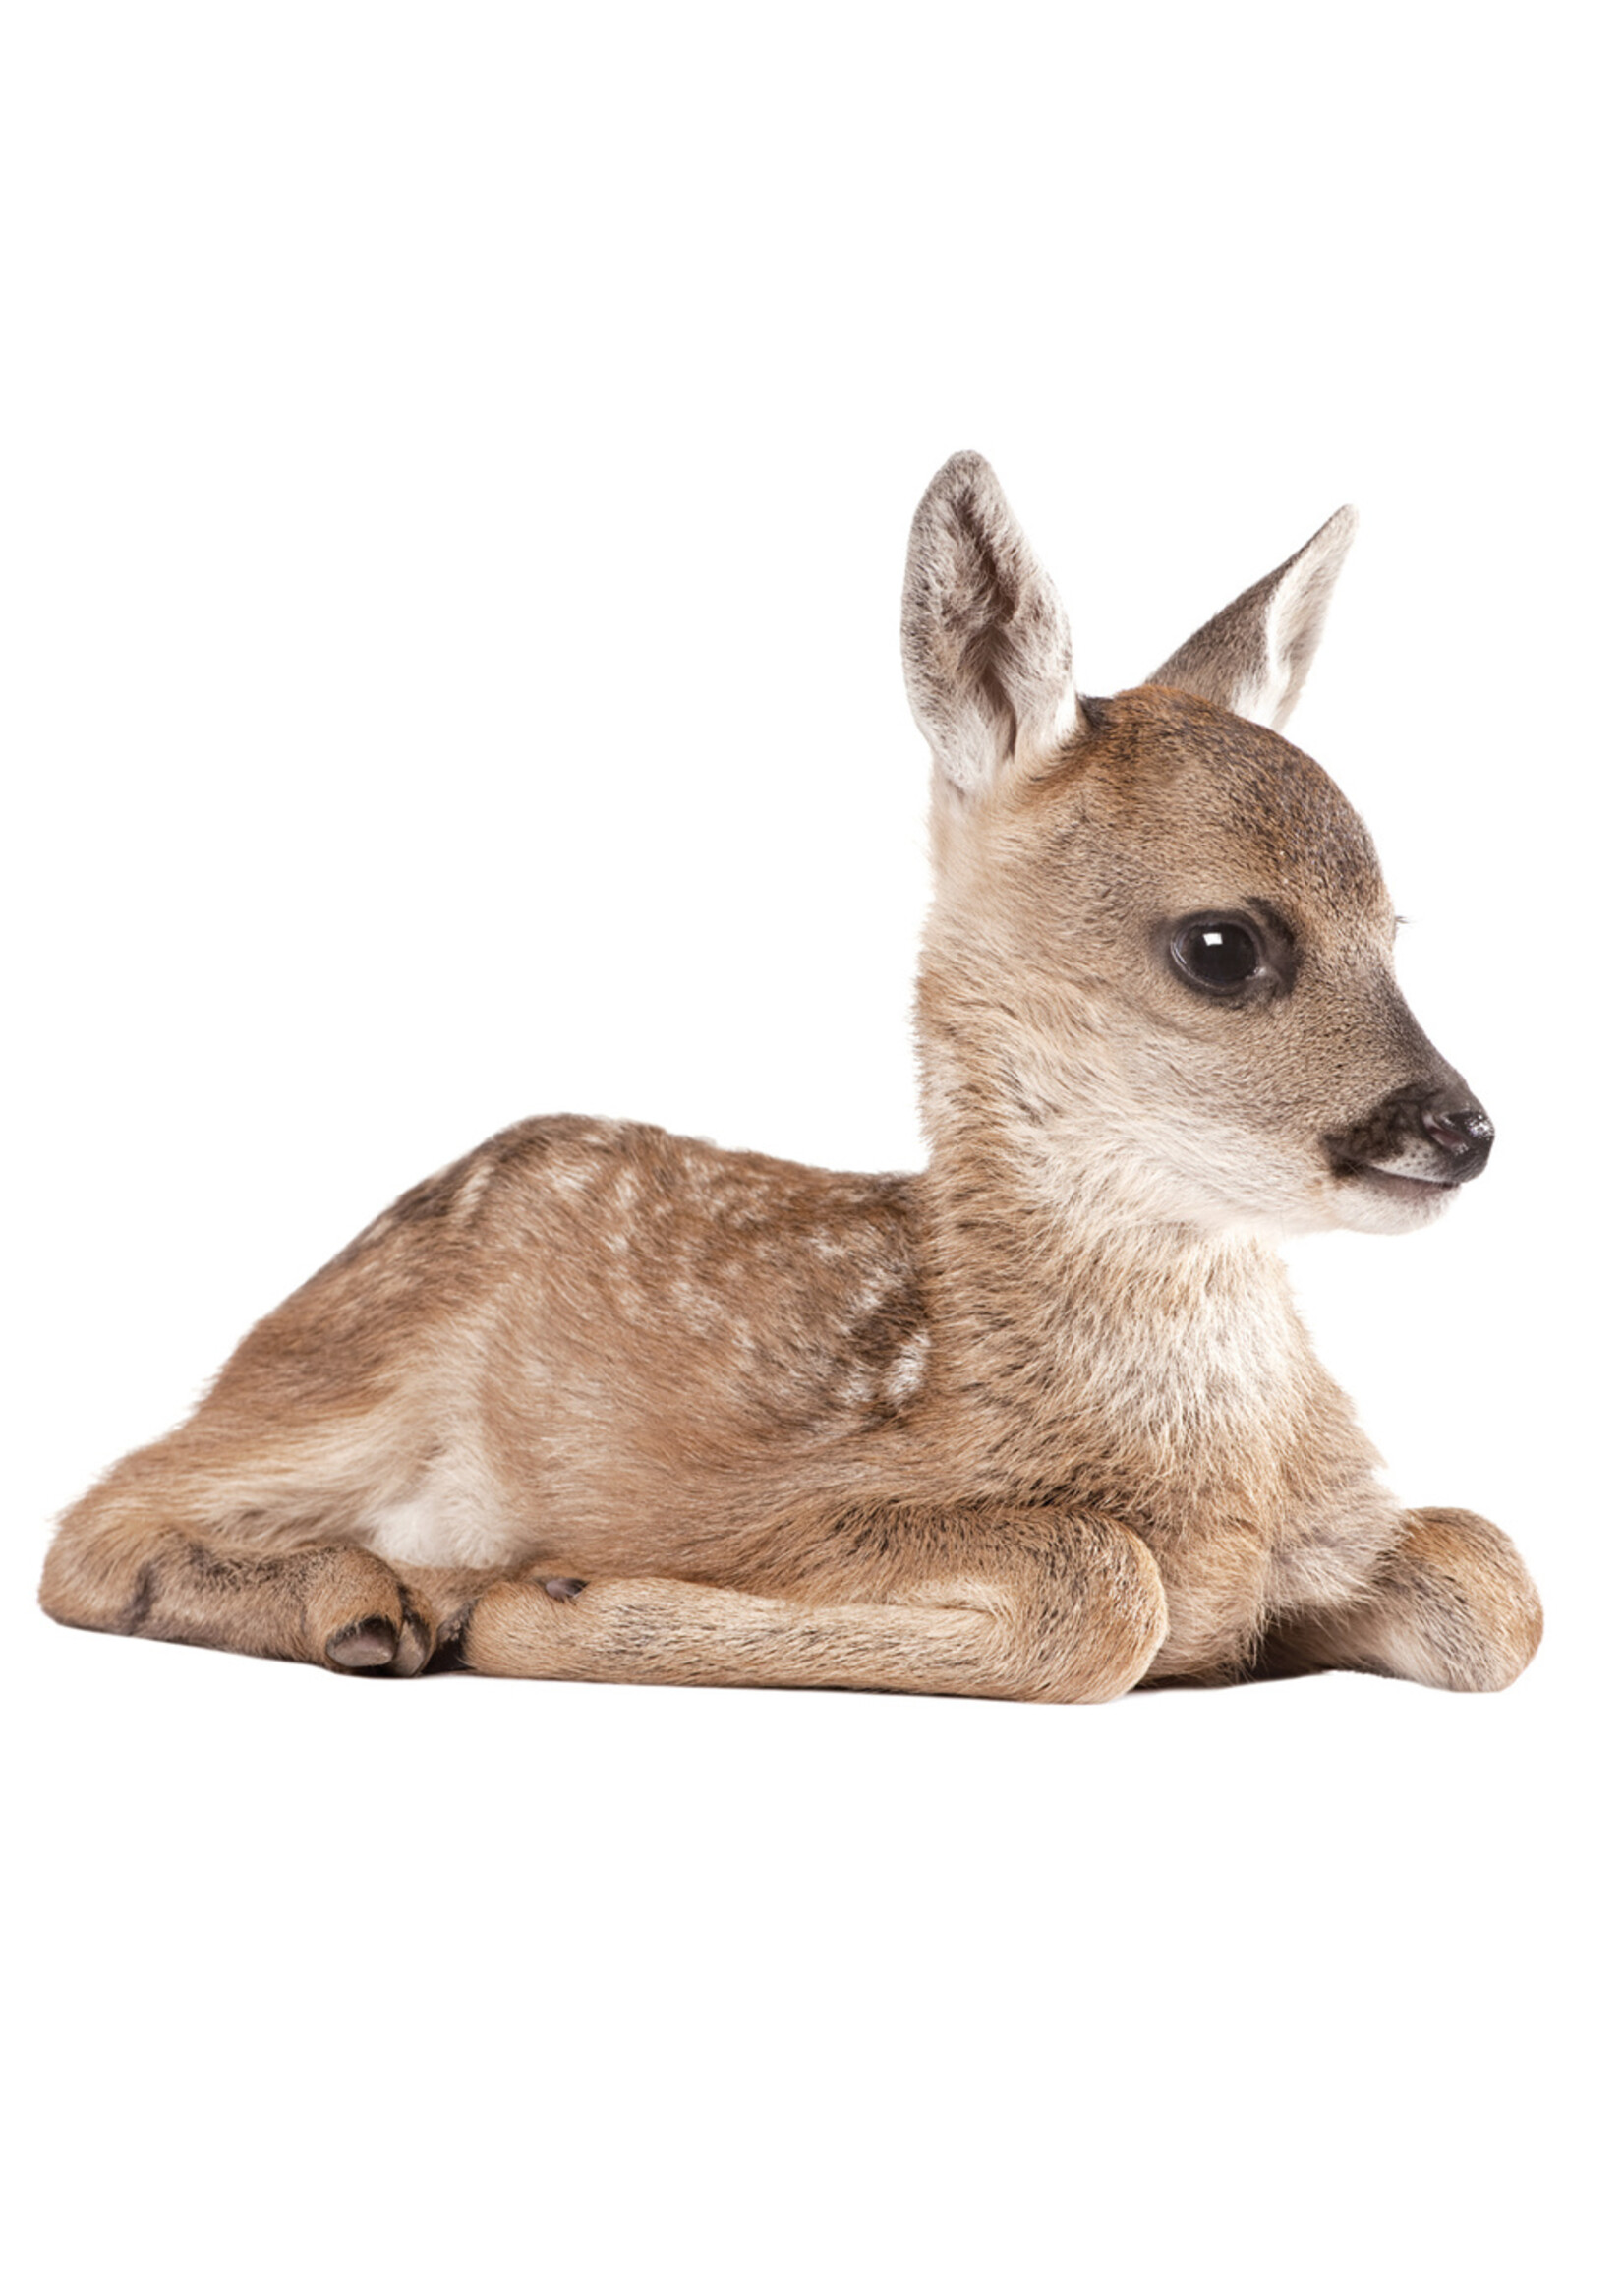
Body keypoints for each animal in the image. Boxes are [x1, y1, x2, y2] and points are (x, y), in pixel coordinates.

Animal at [39, 453, 1543, 1701]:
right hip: (355, 1377)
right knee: (91, 1526)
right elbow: (1104, 1587)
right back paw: (374, 1603)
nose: (1460, 1129)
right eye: (1223, 946)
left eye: (1392, 928)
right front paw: (541, 1600)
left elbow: (1497, 1581)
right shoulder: (783, 1502)